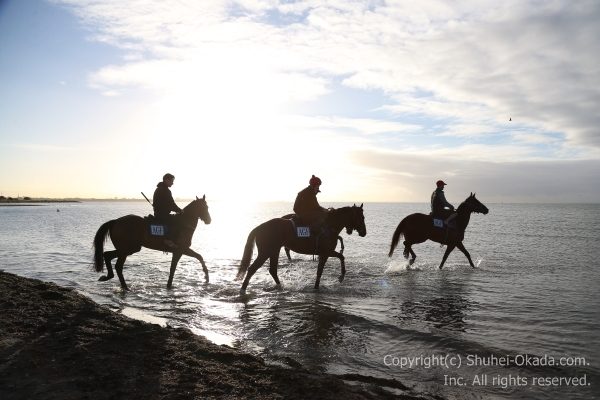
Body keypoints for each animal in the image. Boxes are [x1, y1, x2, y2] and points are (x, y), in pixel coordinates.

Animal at [234, 205, 366, 292]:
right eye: (361, 217)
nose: (364, 232)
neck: (329, 226)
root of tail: (260, 227)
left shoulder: (324, 253)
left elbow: (328, 265)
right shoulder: (326, 253)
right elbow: (337, 259)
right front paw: (341, 276)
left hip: (274, 251)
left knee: (272, 270)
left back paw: (280, 286)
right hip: (266, 252)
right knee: (252, 269)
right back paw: (243, 290)